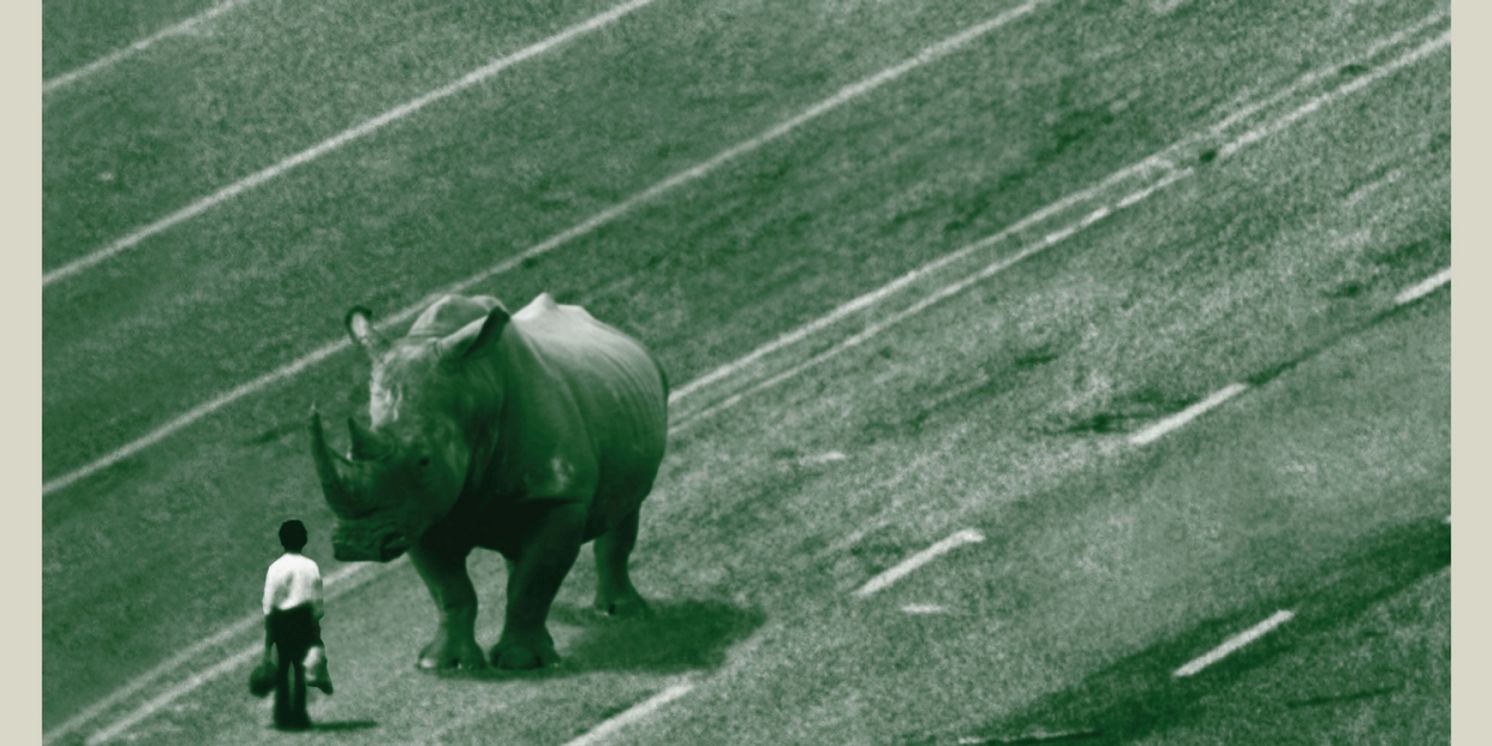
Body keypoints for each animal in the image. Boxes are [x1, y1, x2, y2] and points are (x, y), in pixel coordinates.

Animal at [309, 292, 668, 670]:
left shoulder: (560, 495)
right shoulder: (418, 509)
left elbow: (533, 583)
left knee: (625, 511)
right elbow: (450, 590)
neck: (473, 387)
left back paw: (620, 613)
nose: (357, 544)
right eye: (350, 454)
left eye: (424, 460)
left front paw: (519, 661)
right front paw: (443, 664)